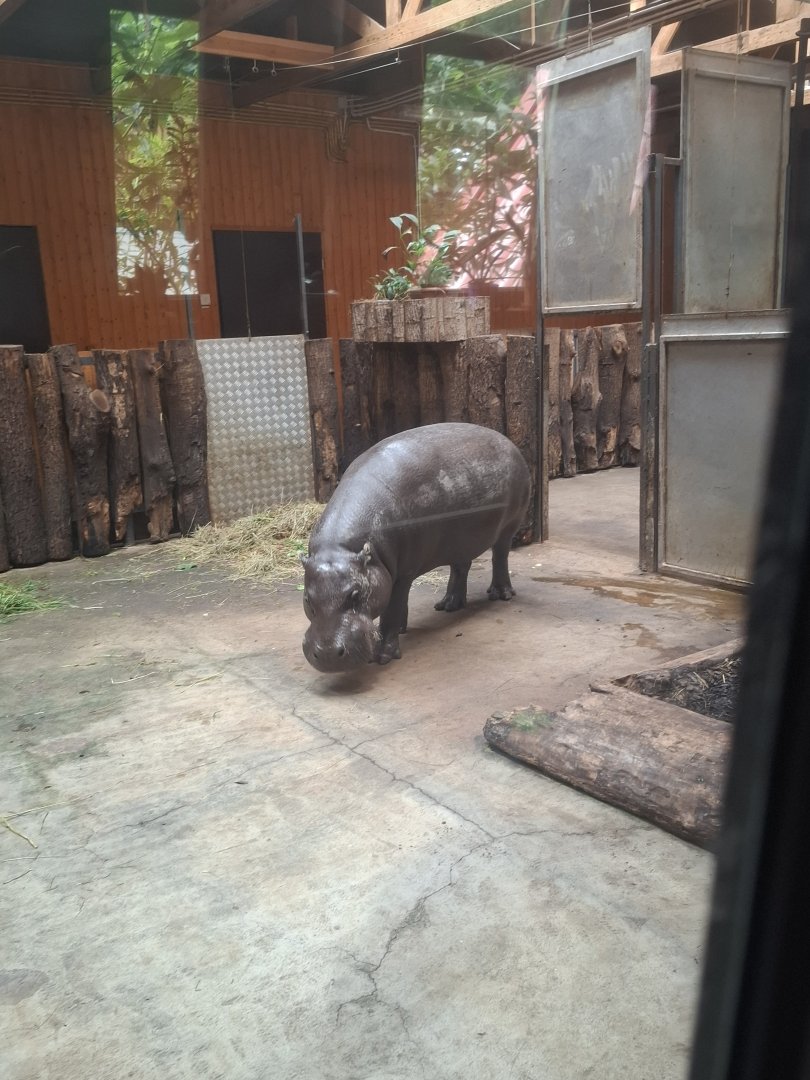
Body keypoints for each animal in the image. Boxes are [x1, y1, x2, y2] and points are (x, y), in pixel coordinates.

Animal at [301, 422, 530, 673]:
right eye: (307, 599)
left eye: (355, 594)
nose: (328, 655)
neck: (340, 548)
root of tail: (506, 440)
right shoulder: (391, 572)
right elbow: (396, 604)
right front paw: (402, 628)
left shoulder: (403, 573)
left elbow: (392, 608)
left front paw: (382, 656)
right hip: (459, 540)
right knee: (461, 566)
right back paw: (448, 605)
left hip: (508, 526)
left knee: (500, 556)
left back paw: (501, 595)